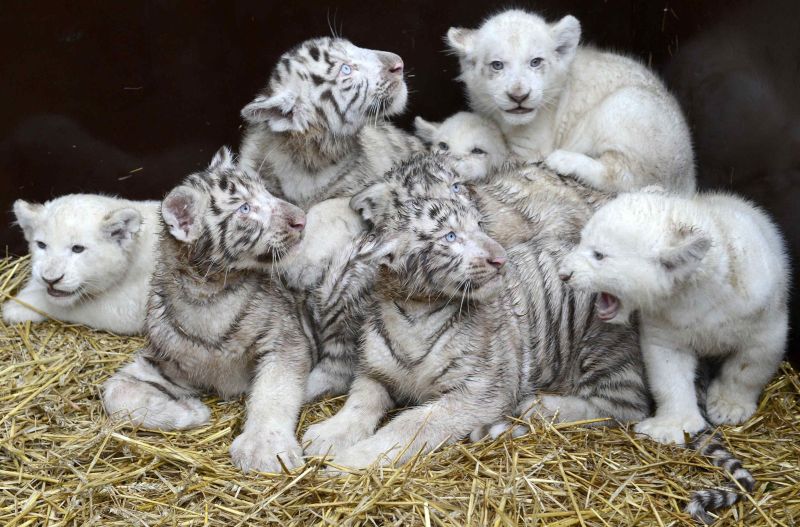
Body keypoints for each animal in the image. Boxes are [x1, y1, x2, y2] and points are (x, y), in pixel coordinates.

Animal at [102, 147, 313, 473]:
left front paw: (264, 449)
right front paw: (191, 411)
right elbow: (115, 393)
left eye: (267, 192)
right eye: (244, 209)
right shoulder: (165, 361)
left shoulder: (285, 340)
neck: (209, 296)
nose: (301, 218)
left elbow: (274, 392)